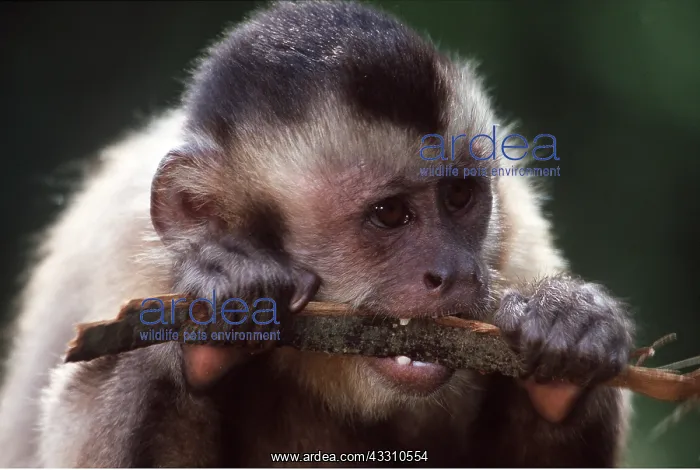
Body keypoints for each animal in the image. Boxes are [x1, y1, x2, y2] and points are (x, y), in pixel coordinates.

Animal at [0, 0, 634, 467]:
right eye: (389, 214)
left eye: (458, 198)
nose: (456, 271)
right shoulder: (131, 255)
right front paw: (208, 329)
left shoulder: (518, 237)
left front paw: (564, 344)